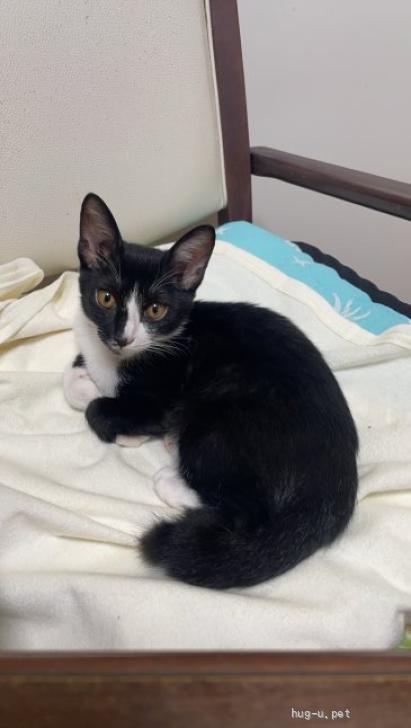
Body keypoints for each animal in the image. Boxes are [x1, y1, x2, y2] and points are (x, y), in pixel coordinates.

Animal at [64, 193, 358, 589]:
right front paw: (89, 385)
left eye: (155, 309)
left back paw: (173, 476)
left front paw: (128, 432)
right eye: (105, 298)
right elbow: (72, 380)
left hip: (221, 415)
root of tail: (332, 489)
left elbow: (99, 408)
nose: (122, 337)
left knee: (246, 509)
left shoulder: (163, 397)